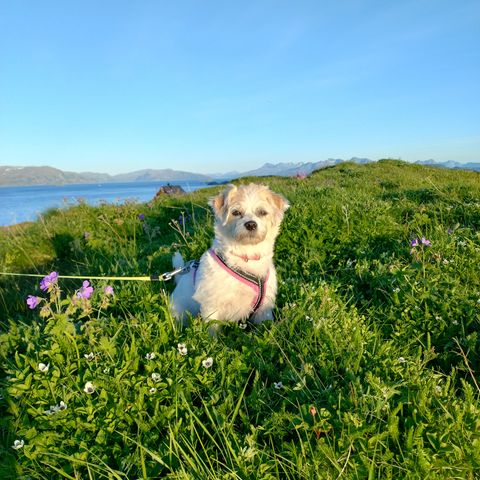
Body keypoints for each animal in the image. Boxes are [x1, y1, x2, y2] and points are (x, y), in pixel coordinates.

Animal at [172, 182, 288, 328]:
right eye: (236, 212)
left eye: (262, 212)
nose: (251, 224)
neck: (246, 255)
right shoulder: (211, 306)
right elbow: (212, 329)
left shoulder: (264, 308)